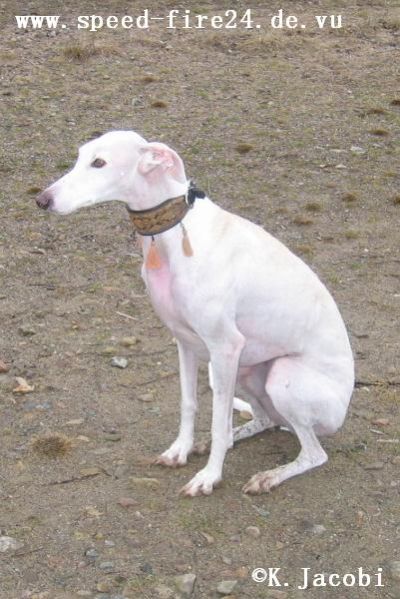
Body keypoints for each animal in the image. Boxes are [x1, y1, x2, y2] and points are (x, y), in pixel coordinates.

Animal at [37, 130, 354, 496]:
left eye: (99, 162)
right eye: (79, 156)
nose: (42, 200)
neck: (170, 234)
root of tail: (340, 415)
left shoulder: (225, 345)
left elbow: (217, 421)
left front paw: (209, 477)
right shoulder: (185, 342)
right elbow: (189, 404)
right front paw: (181, 450)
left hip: (280, 376)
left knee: (314, 453)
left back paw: (269, 475)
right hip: (244, 371)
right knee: (262, 420)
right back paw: (230, 441)